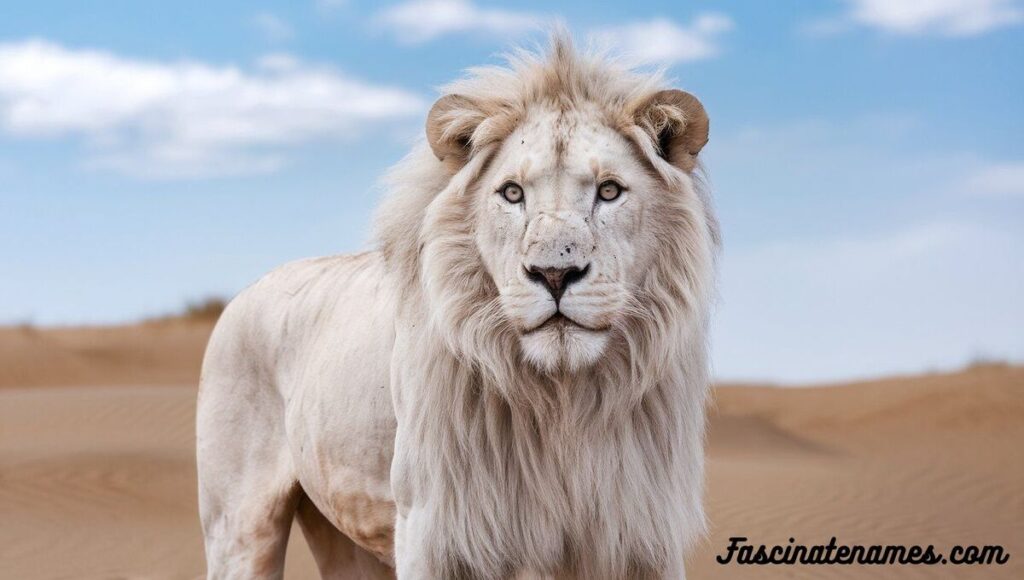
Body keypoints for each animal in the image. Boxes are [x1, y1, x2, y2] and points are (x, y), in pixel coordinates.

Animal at [195, 36, 716, 580]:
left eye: (609, 190)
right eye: (512, 193)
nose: (554, 274)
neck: (562, 403)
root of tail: (246, 292)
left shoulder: (640, 536)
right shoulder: (431, 529)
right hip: (239, 527)